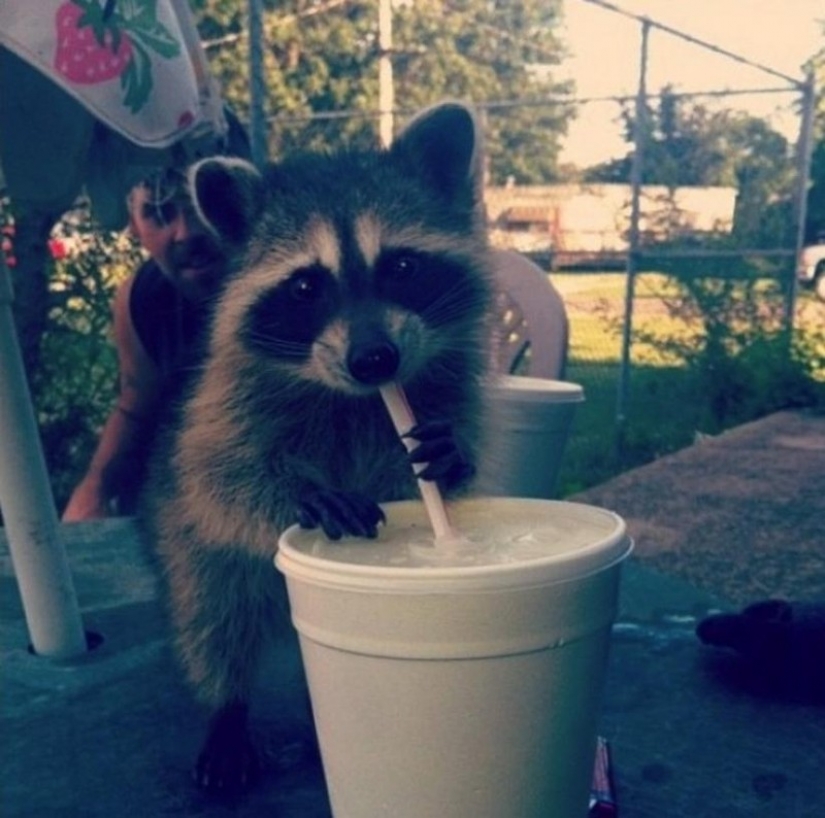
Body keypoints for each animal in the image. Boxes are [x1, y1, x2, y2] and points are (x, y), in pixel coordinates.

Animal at [140, 101, 496, 794]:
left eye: (402, 267)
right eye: (306, 287)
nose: (375, 359)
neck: (357, 398)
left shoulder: (448, 386)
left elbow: (443, 470)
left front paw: (452, 457)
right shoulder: (219, 404)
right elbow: (219, 476)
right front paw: (302, 492)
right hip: (180, 538)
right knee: (212, 609)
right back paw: (227, 708)